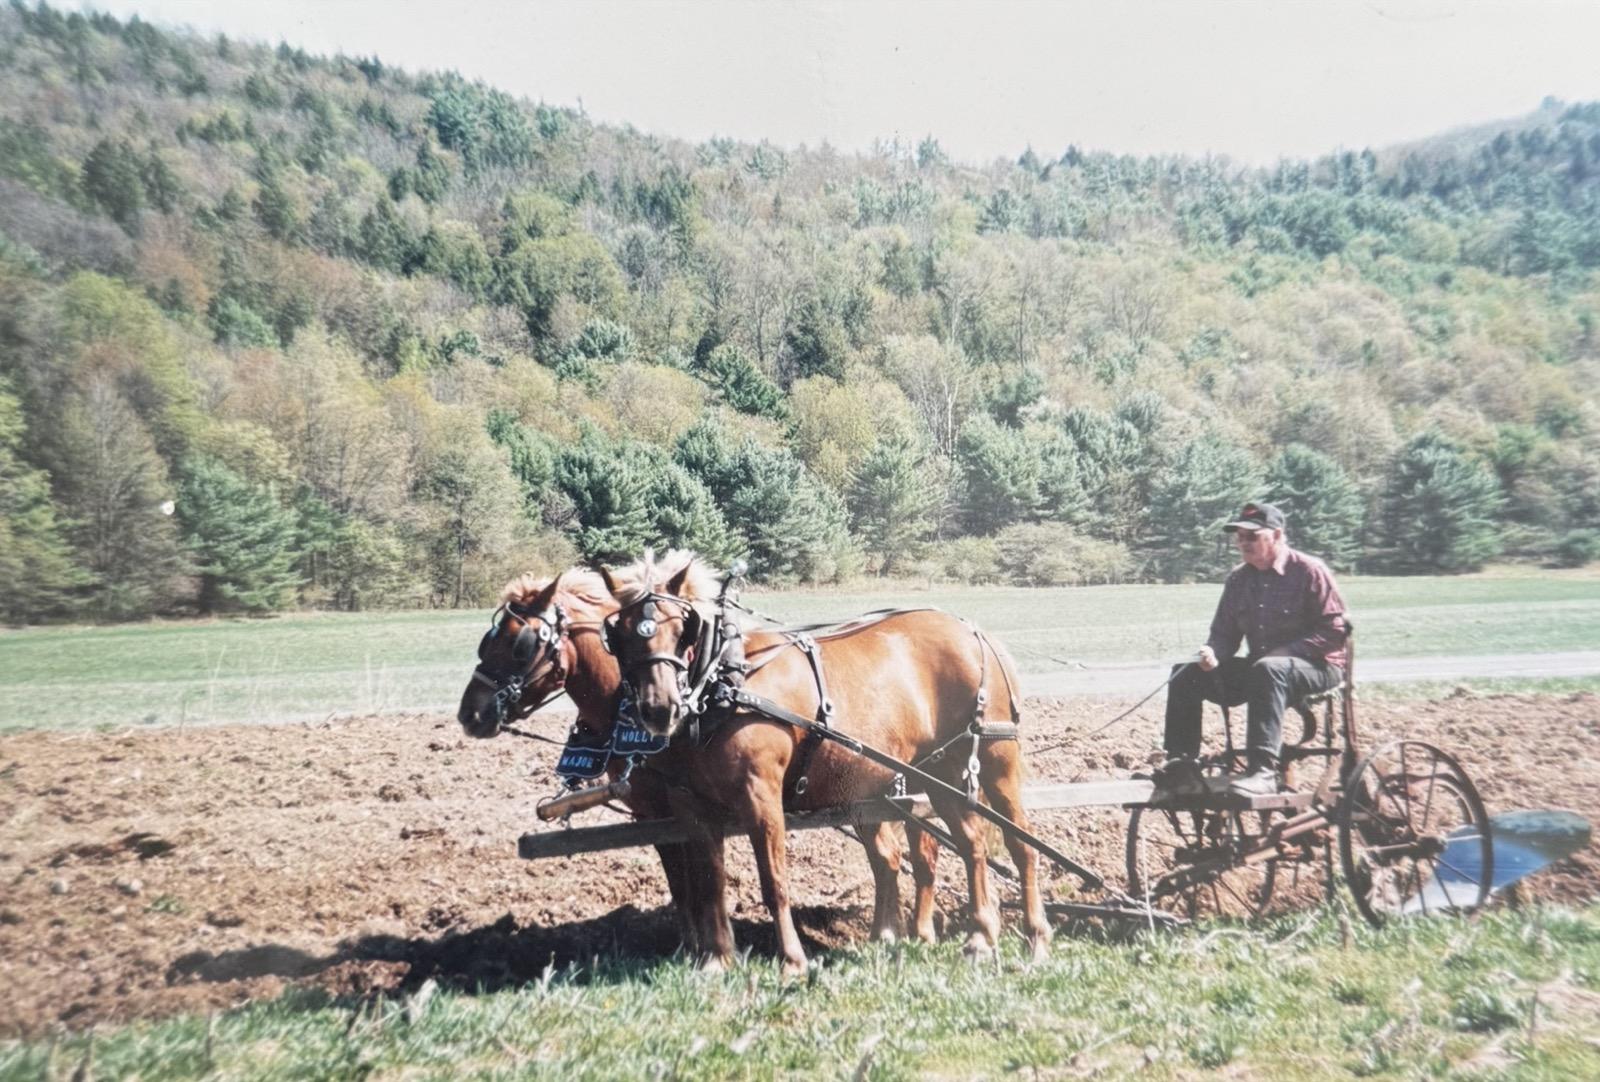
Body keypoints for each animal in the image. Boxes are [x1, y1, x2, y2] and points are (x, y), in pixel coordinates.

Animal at [599, 550, 1050, 974]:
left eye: (682, 629)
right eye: (617, 636)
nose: (659, 709)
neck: (724, 681)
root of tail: (975, 632)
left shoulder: (761, 795)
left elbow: (774, 881)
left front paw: (793, 961)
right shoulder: (693, 806)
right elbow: (711, 885)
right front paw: (717, 960)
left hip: (994, 761)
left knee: (1020, 845)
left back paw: (1035, 938)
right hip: (939, 774)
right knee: (972, 845)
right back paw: (979, 938)